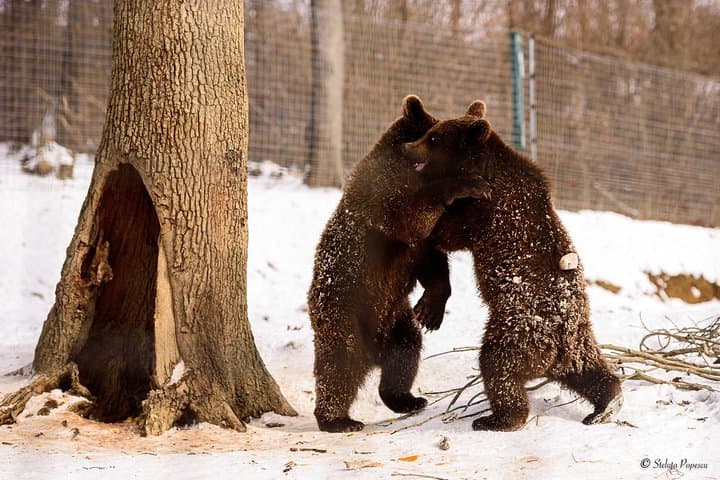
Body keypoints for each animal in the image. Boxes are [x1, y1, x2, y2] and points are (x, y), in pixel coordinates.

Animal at [308, 95, 493, 433]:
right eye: (431, 134)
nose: (410, 149)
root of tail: (373, 353)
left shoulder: (419, 246)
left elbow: (432, 262)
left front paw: (432, 310)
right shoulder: (384, 198)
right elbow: (411, 217)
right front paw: (468, 183)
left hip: (396, 319)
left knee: (405, 355)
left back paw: (408, 399)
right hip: (346, 312)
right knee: (338, 365)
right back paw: (338, 419)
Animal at [402, 100, 623, 432]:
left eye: (433, 138)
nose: (408, 148)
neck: (485, 167)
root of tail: (561, 339)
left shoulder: (486, 211)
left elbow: (449, 231)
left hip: (516, 330)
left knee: (498, 365)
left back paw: (496, 418)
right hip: (579, 340)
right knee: (589, 369)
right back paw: (606, 405)